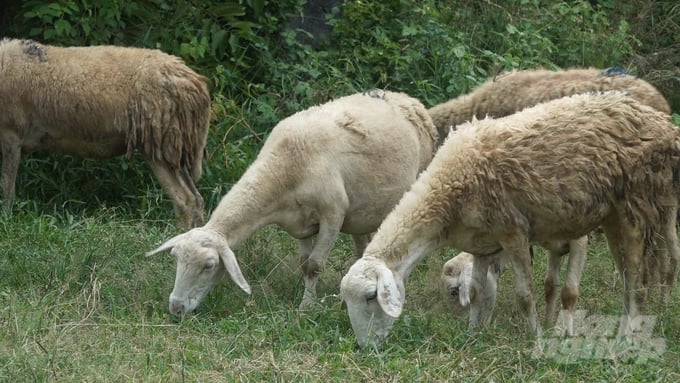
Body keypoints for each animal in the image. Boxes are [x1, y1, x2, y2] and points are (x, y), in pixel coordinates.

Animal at [0, 37, 210, 228]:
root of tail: (196, 86)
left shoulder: (11, 134)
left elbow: (6, 189)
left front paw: (6, 221)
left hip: (160, 141)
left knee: (185, 200)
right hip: (175, 146)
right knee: (197, 199)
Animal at [146, 91, 438, 318]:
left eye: (208, 265)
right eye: (175, 258)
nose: (176, 308)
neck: (282, 168)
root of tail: (409, 99)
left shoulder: (333, 214)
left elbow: (314, 265)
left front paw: (305, 307)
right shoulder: (300, 222)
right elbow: (303, 261)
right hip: (362, 212)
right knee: (362, 245)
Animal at [340, 91, 680, 350]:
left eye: (370, 296)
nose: (366, 348)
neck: (447, 193)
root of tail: (661, 123)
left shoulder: (513, 233)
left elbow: (524, 295)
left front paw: (536, 338)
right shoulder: (481, 245)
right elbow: (478, 291)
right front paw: (473, 335)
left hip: (638, 206)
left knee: (637, 278)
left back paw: (629, 337)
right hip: (611, 216)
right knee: (626, 278)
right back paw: (626, 329)